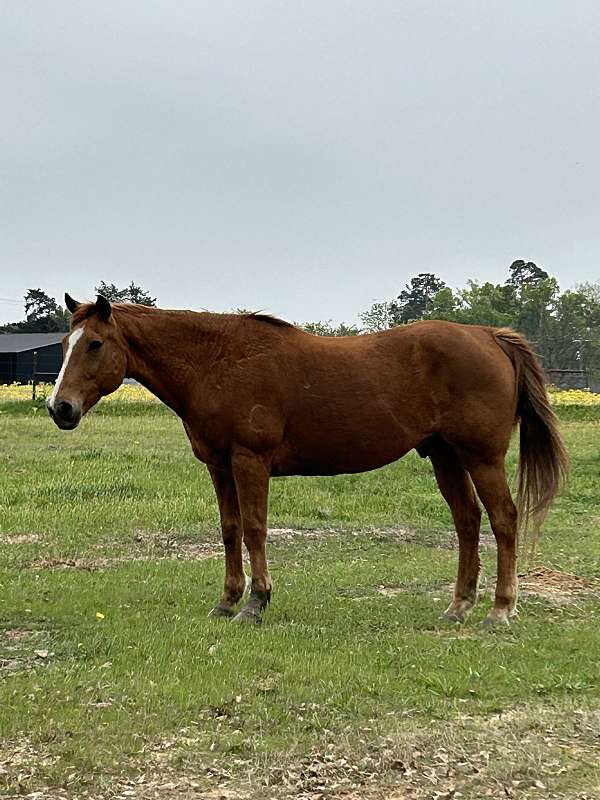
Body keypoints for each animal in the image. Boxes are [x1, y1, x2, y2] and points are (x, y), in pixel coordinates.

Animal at [47, 293, 568, 626]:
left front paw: (256, 603)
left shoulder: (250, 461)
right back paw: (458, 607)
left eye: (95, 344)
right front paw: (226, 601)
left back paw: (500, 609)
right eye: (64, 345)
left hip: (482, 457)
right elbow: (230, 530)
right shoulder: (219, 465)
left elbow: (255, 529)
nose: (60, 408)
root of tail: (488, 335)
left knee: (503, 519)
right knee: (467, 522)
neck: (216, 361)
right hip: (445, 457)